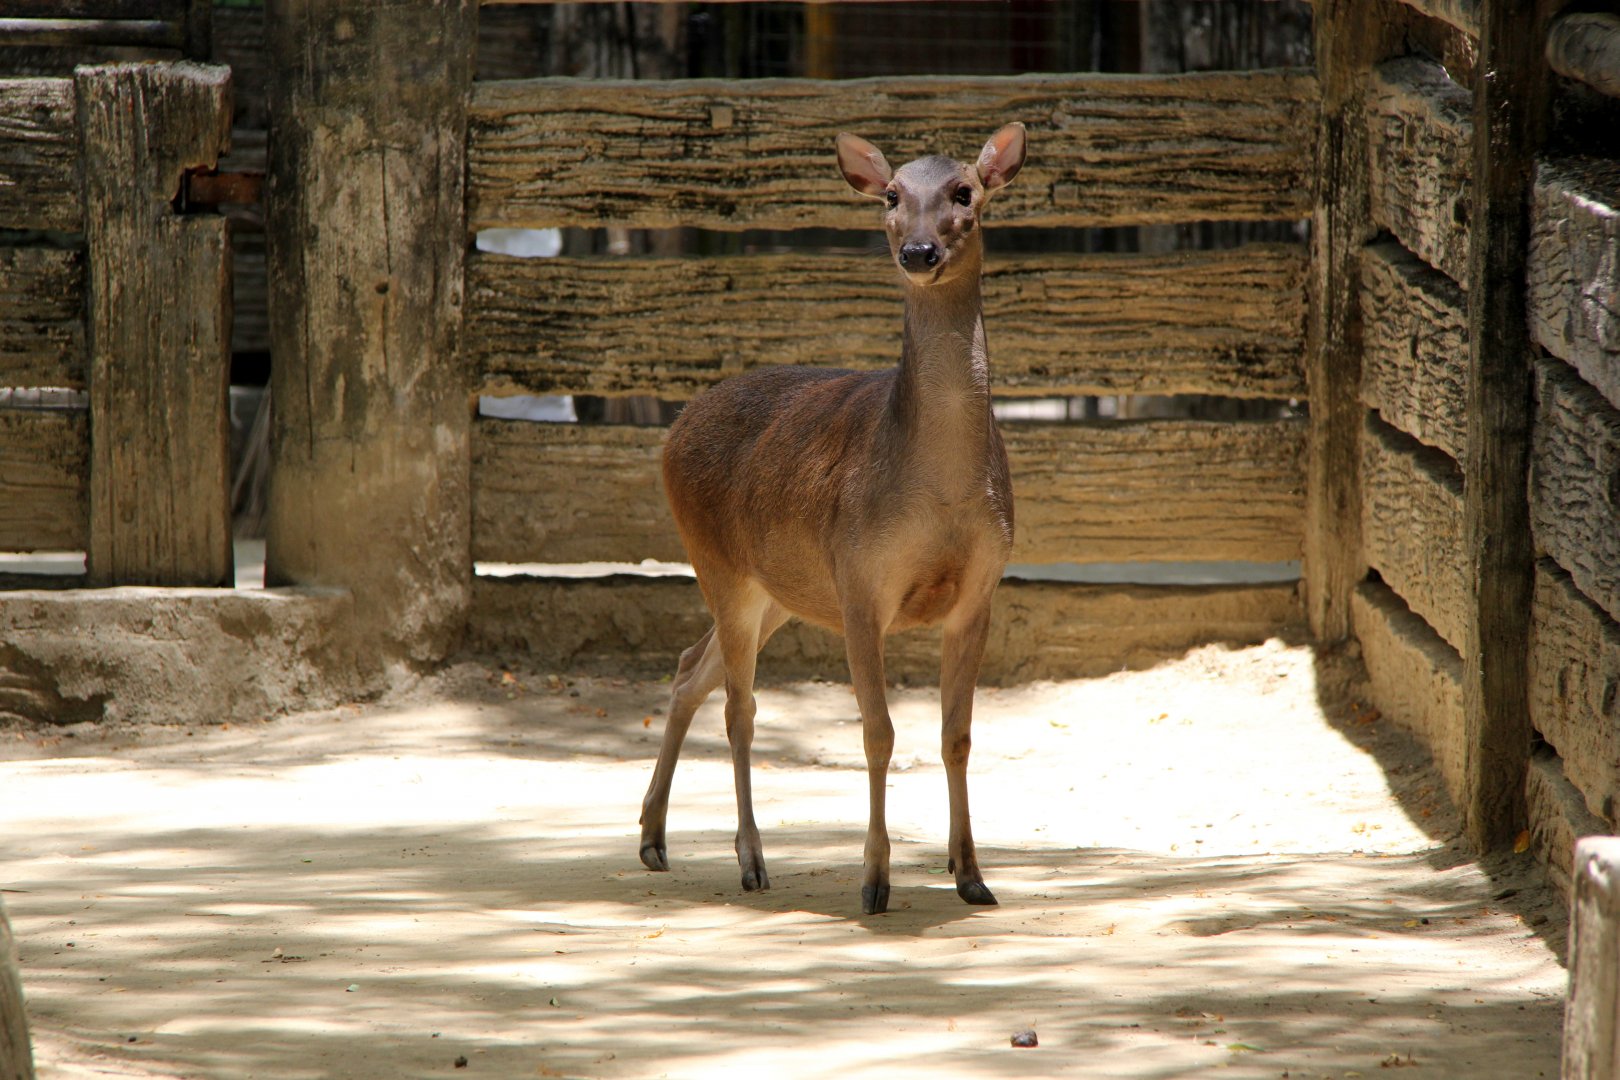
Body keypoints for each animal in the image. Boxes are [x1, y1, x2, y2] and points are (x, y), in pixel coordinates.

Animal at [638, 123, 1027, 916]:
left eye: (964, 191)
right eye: (891, 195)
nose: (919, 252)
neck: (938, 496)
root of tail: (673, 429)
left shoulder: (980, 587)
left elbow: (958, 736)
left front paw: (971, 874)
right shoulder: (862, 581)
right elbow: (878, 733)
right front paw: (874, 881)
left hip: (777, 590)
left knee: (691, 668)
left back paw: (653, 837)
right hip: (715, 560)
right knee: (739, 705)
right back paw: (751, 860)